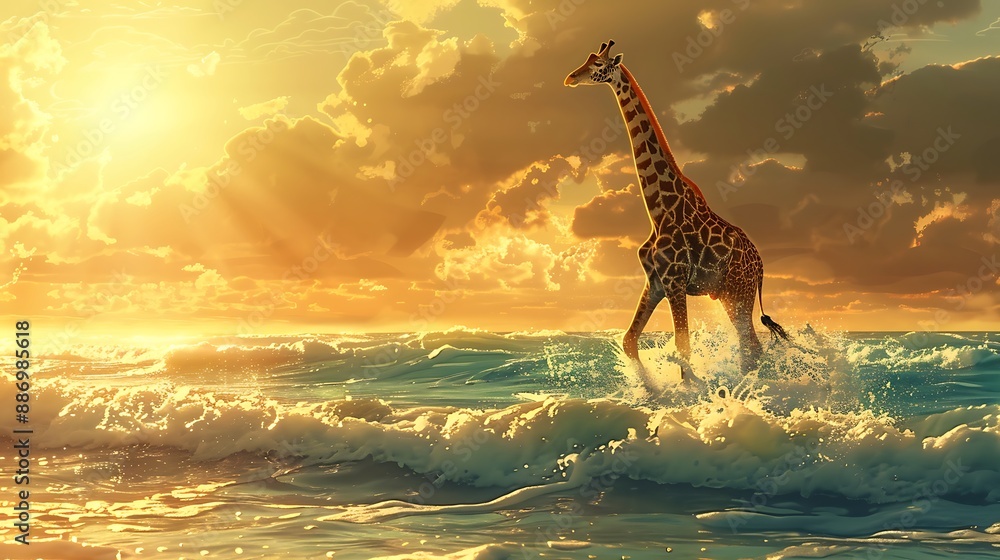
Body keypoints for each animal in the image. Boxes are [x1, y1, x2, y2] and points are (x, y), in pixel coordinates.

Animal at [565, 40, 787, 383]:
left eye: (598, 65)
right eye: (586, 60)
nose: (571, 78)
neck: (658, 209)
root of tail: (761, 267)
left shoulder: (675, 279)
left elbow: (683, 347)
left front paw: (687, 390)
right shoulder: (655, 280)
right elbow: (630, 341)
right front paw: (650, 388)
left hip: (740, 292)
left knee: (750, 346)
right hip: (728, 294)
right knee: (749, 347)